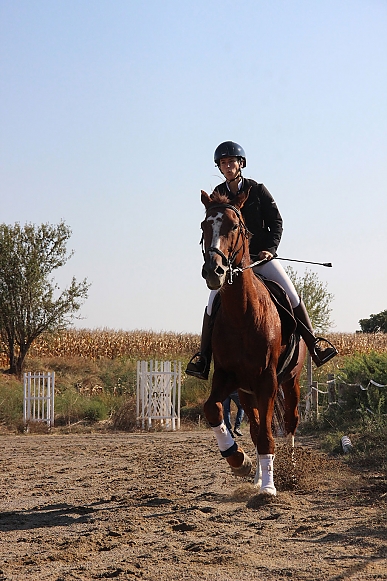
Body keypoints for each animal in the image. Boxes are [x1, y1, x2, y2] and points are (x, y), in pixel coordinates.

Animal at [200, 187, 306, 494]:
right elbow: (212, 409)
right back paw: (258, 475)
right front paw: (239, 460)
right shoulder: (228, 377)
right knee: (256, 427)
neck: (242, 313)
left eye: (234, 226)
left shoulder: (267, 380)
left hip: (290, 381)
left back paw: (289, 472)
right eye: (203, 226)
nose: (214, 271)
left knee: (290, 423)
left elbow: (268, 436)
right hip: (247, 394)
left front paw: (269, 489)